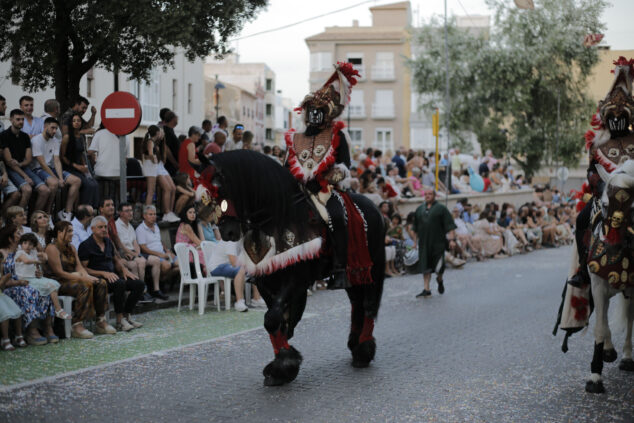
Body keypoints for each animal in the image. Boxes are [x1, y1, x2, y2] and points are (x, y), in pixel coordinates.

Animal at [205, 151, 382, 386]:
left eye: (226, 188)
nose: (227, 231)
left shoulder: (296, 281)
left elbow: (272, 319)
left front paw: (285, 365)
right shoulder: (266, 283)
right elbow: (276, 321)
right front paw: (281, 367)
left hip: (373, 267)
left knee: (369, 305)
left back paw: (363, 351)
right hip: (355, 272)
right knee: (357, 304)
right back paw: (356, 345)